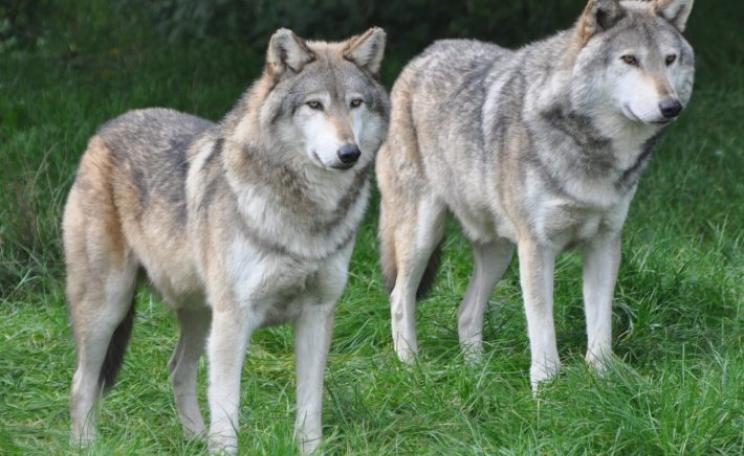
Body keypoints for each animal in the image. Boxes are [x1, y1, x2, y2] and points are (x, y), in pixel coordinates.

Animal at [63, 27, 389, 454]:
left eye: (355, 104)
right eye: (315, 105)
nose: (349, 152)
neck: (305, 216)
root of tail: (102, 132)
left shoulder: (317, 314)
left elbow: (309, 410)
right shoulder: (235, 319)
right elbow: (227, 416)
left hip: (200, 314)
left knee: (177, 370)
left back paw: (193, 439)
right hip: (110, 307)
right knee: (82, 383)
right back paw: (87, 444)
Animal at [377, 0, 695, 389]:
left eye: (669, 59)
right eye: (630, 59)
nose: (672, 106)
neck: (591, 151)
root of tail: (421, 57)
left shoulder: (605, 243)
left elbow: (600, 325)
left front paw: (603, 379)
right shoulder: (537, 247)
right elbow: (542, 327)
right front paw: (545, 387)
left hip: (498, 253)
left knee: (465, 312)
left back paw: (477, 372)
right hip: (423, 236)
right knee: (399, 297)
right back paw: (411, 367)